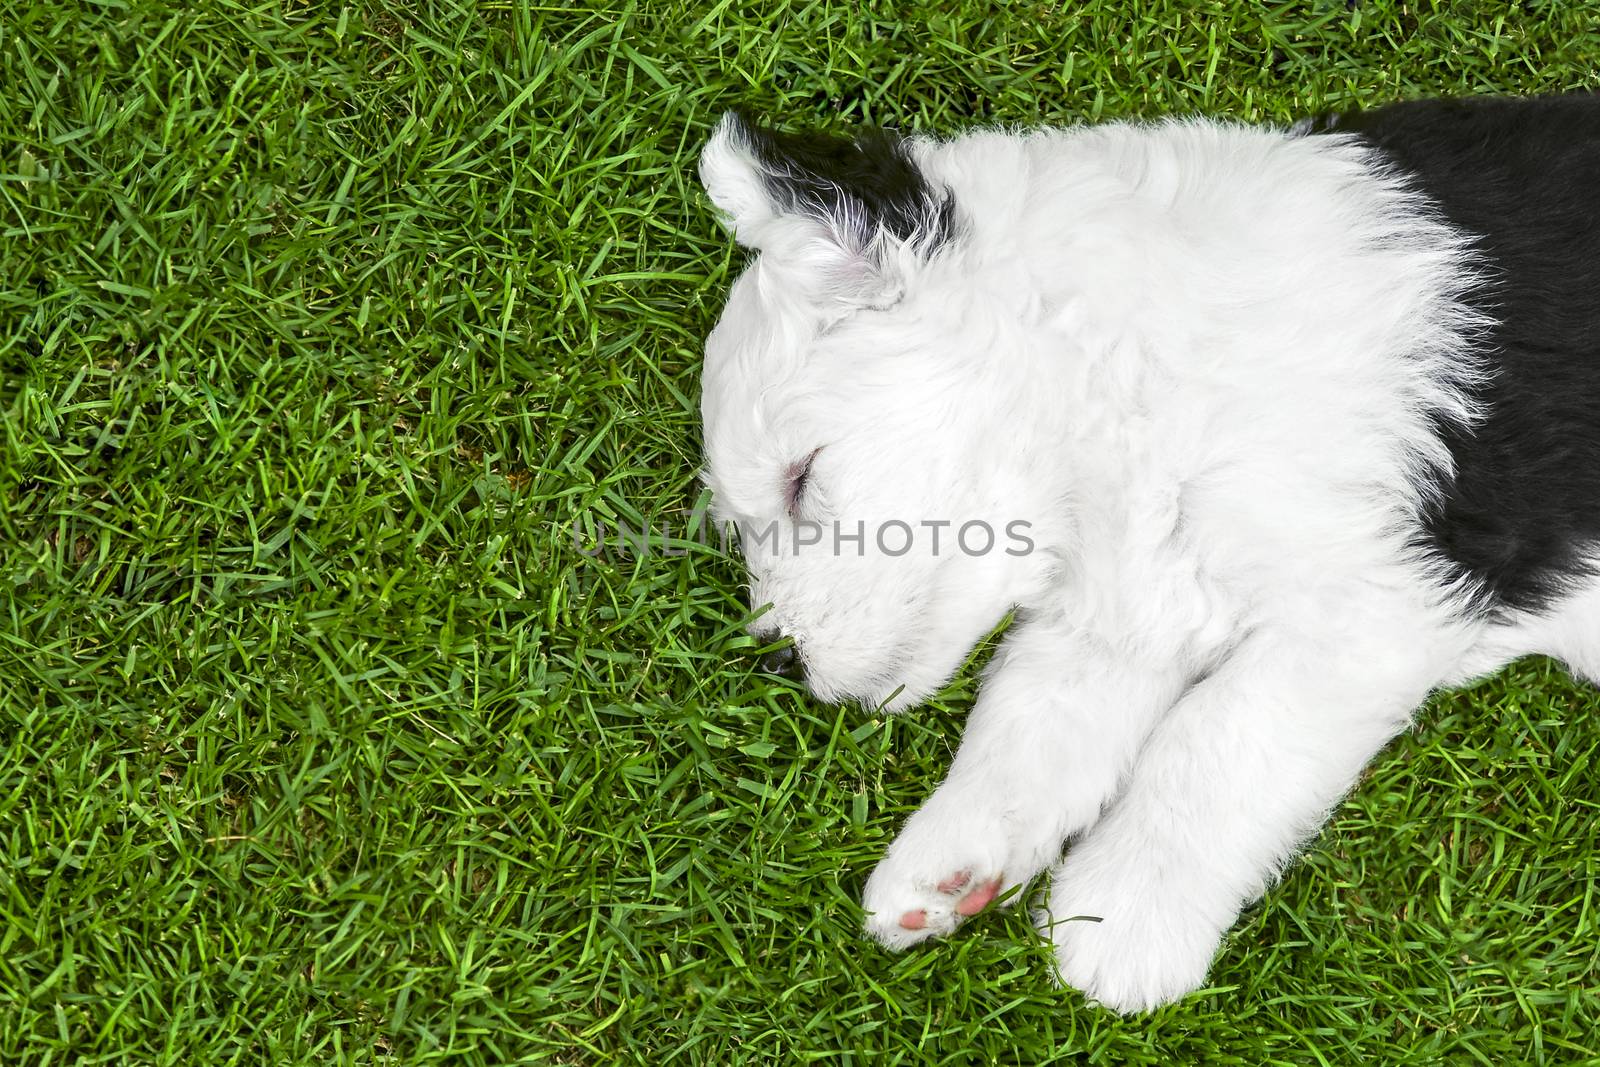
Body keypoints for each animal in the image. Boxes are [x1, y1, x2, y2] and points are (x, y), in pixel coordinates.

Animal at [694, 95, 1593, 1017]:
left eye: (803, 478)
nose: (779, 657)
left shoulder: (1375, 603)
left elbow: (1217, 739)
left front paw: (1118, 920)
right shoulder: (1131, 600)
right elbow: (1032, 720)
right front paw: (951, 864)